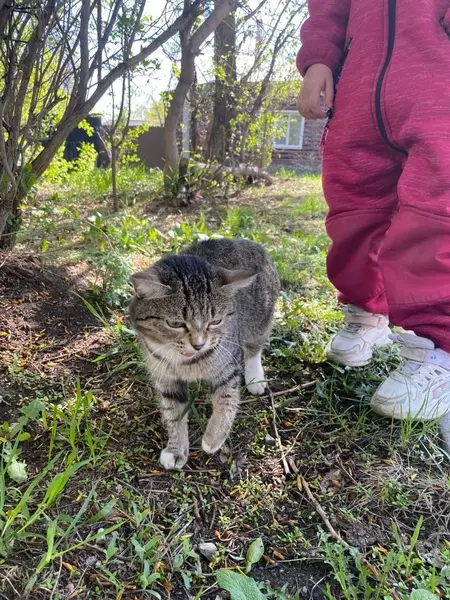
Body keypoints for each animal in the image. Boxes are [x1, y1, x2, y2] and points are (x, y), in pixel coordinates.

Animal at [129, 238, 280, 470]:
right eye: (175, 324)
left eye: (215, 321)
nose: (199, 345)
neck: (186, 363)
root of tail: (250, 242)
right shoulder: (165, 379)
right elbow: (173, 414)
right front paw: (176, 449)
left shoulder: (228, 366)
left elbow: (226, 400)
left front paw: (213, 438)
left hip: (260, 319)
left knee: (255, 347)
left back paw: (255, 377)